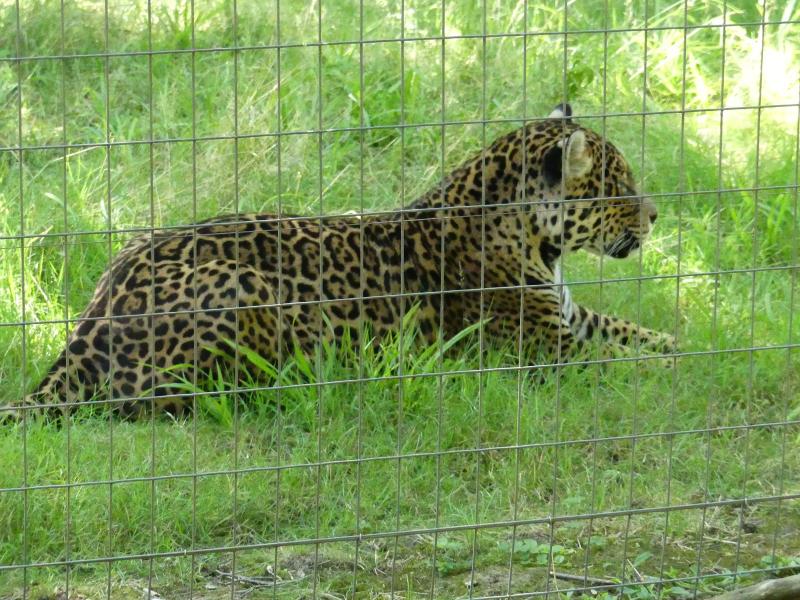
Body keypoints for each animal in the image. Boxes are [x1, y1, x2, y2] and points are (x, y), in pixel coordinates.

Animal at [4, 103, 675, 421]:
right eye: (618, 186)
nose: (655, 215)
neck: (536, 240)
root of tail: (88, 324)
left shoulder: (574, 321)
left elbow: (644, 337)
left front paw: (684, 344)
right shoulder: (552, 352)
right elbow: (631, 366)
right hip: (249, 291)